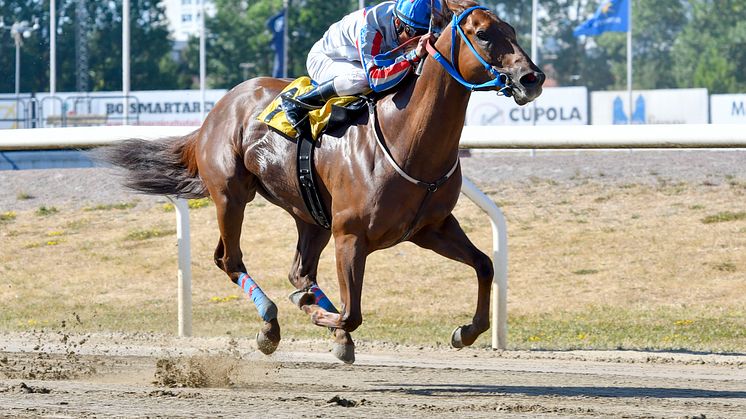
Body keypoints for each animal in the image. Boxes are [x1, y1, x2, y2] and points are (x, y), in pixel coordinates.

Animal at [103, 0, 540, 362]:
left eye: (513, 31)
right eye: (483, 34)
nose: (532, 78)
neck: (407, 139)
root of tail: (219, 107)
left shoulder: (431, 228)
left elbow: (485, 265)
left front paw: (465, 331)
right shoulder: (351, 235)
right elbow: (351, 313)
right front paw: (316, 315)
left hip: (310, 215)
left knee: (298, 271)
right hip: (231, 194)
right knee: (230, 259)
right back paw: (272, 323)